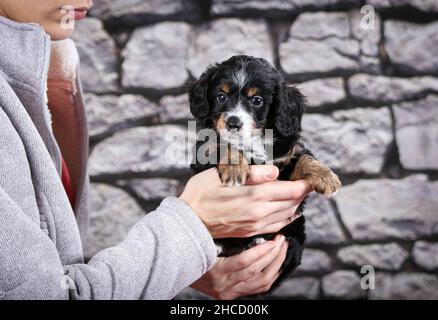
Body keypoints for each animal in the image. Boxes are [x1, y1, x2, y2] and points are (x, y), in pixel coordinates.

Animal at [188, 55, 342, 292]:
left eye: (257, 100)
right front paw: (235, 169)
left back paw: (256, 241)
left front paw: (327, 177)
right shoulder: (202, 154)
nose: (233, 123)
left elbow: (304, 158)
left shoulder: (284, 160)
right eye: (221, 96)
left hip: (295, 230)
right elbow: (223, 144)